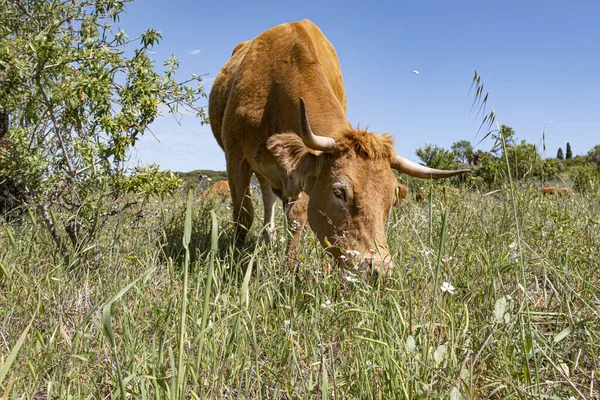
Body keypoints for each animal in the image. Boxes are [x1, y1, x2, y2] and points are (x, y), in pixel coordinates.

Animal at [210, 20, 468, 276]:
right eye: (339, 192)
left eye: (391, 199)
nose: (378, 268)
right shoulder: (235, 157)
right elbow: (243, 214)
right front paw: (232, 262)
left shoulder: (306, 172)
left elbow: (297, 217)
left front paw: (290, 267)